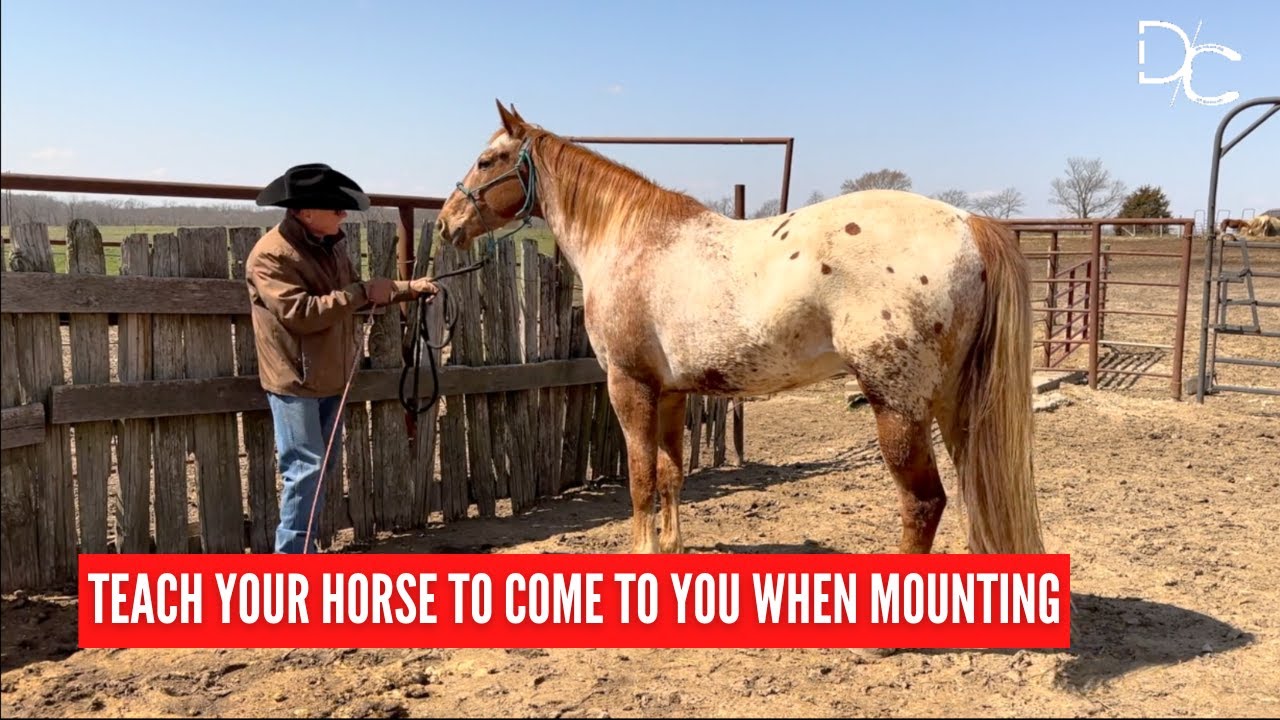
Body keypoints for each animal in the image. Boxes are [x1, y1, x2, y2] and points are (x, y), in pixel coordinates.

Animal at [435, 100, 1046, 558]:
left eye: (487, 160)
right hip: (954, 403)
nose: (445, 224)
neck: (631, 240)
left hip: (898, 406)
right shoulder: (673, 393)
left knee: (924, 502)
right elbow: (670, 474)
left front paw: (641, 552)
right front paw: (671, 548)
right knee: (970, 490)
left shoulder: (631, 387)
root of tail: (968, 222)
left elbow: (639, 479)